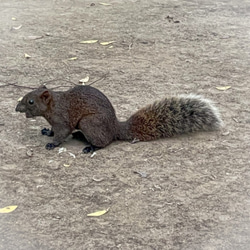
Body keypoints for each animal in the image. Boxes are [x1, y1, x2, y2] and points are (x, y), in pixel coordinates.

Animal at [15, 85, 223, 153]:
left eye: (31, 101)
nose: (17, 108)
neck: (53, 106)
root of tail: (116, 127)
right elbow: (52, 130)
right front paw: (46, 132)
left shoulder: (62, 119)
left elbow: (62, 133)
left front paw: (52, 143)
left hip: (89, 123)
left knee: (105, 141)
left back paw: (90, 146)